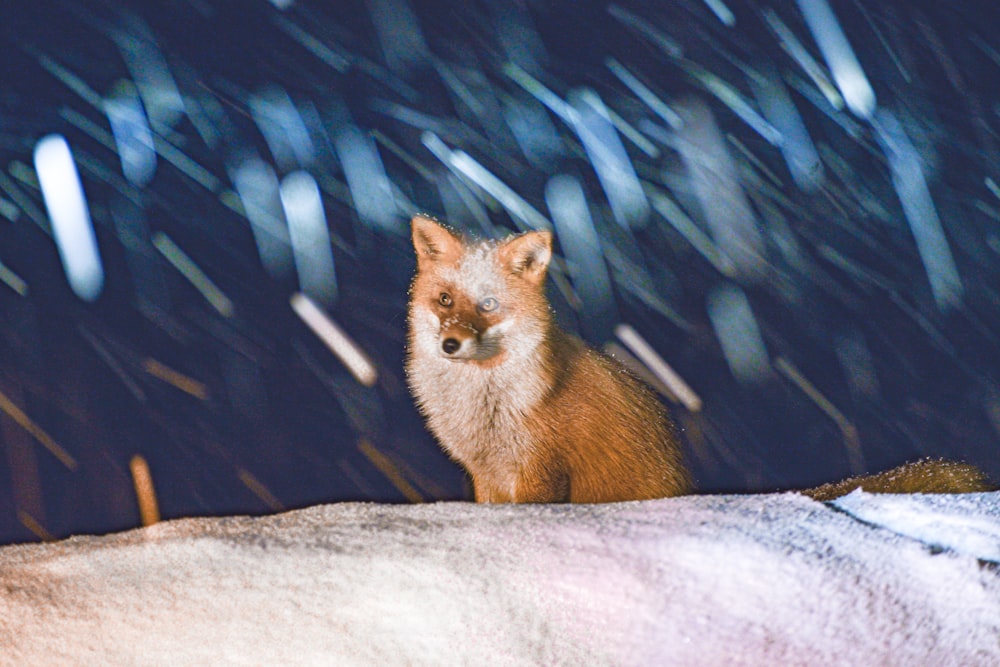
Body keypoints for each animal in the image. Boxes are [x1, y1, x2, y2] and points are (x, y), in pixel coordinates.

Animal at [406, 217, 992, 504]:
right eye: (445, 300)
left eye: (487, 306)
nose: (451, 345)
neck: (485, 404)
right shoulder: (484, 474)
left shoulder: (539, 472)